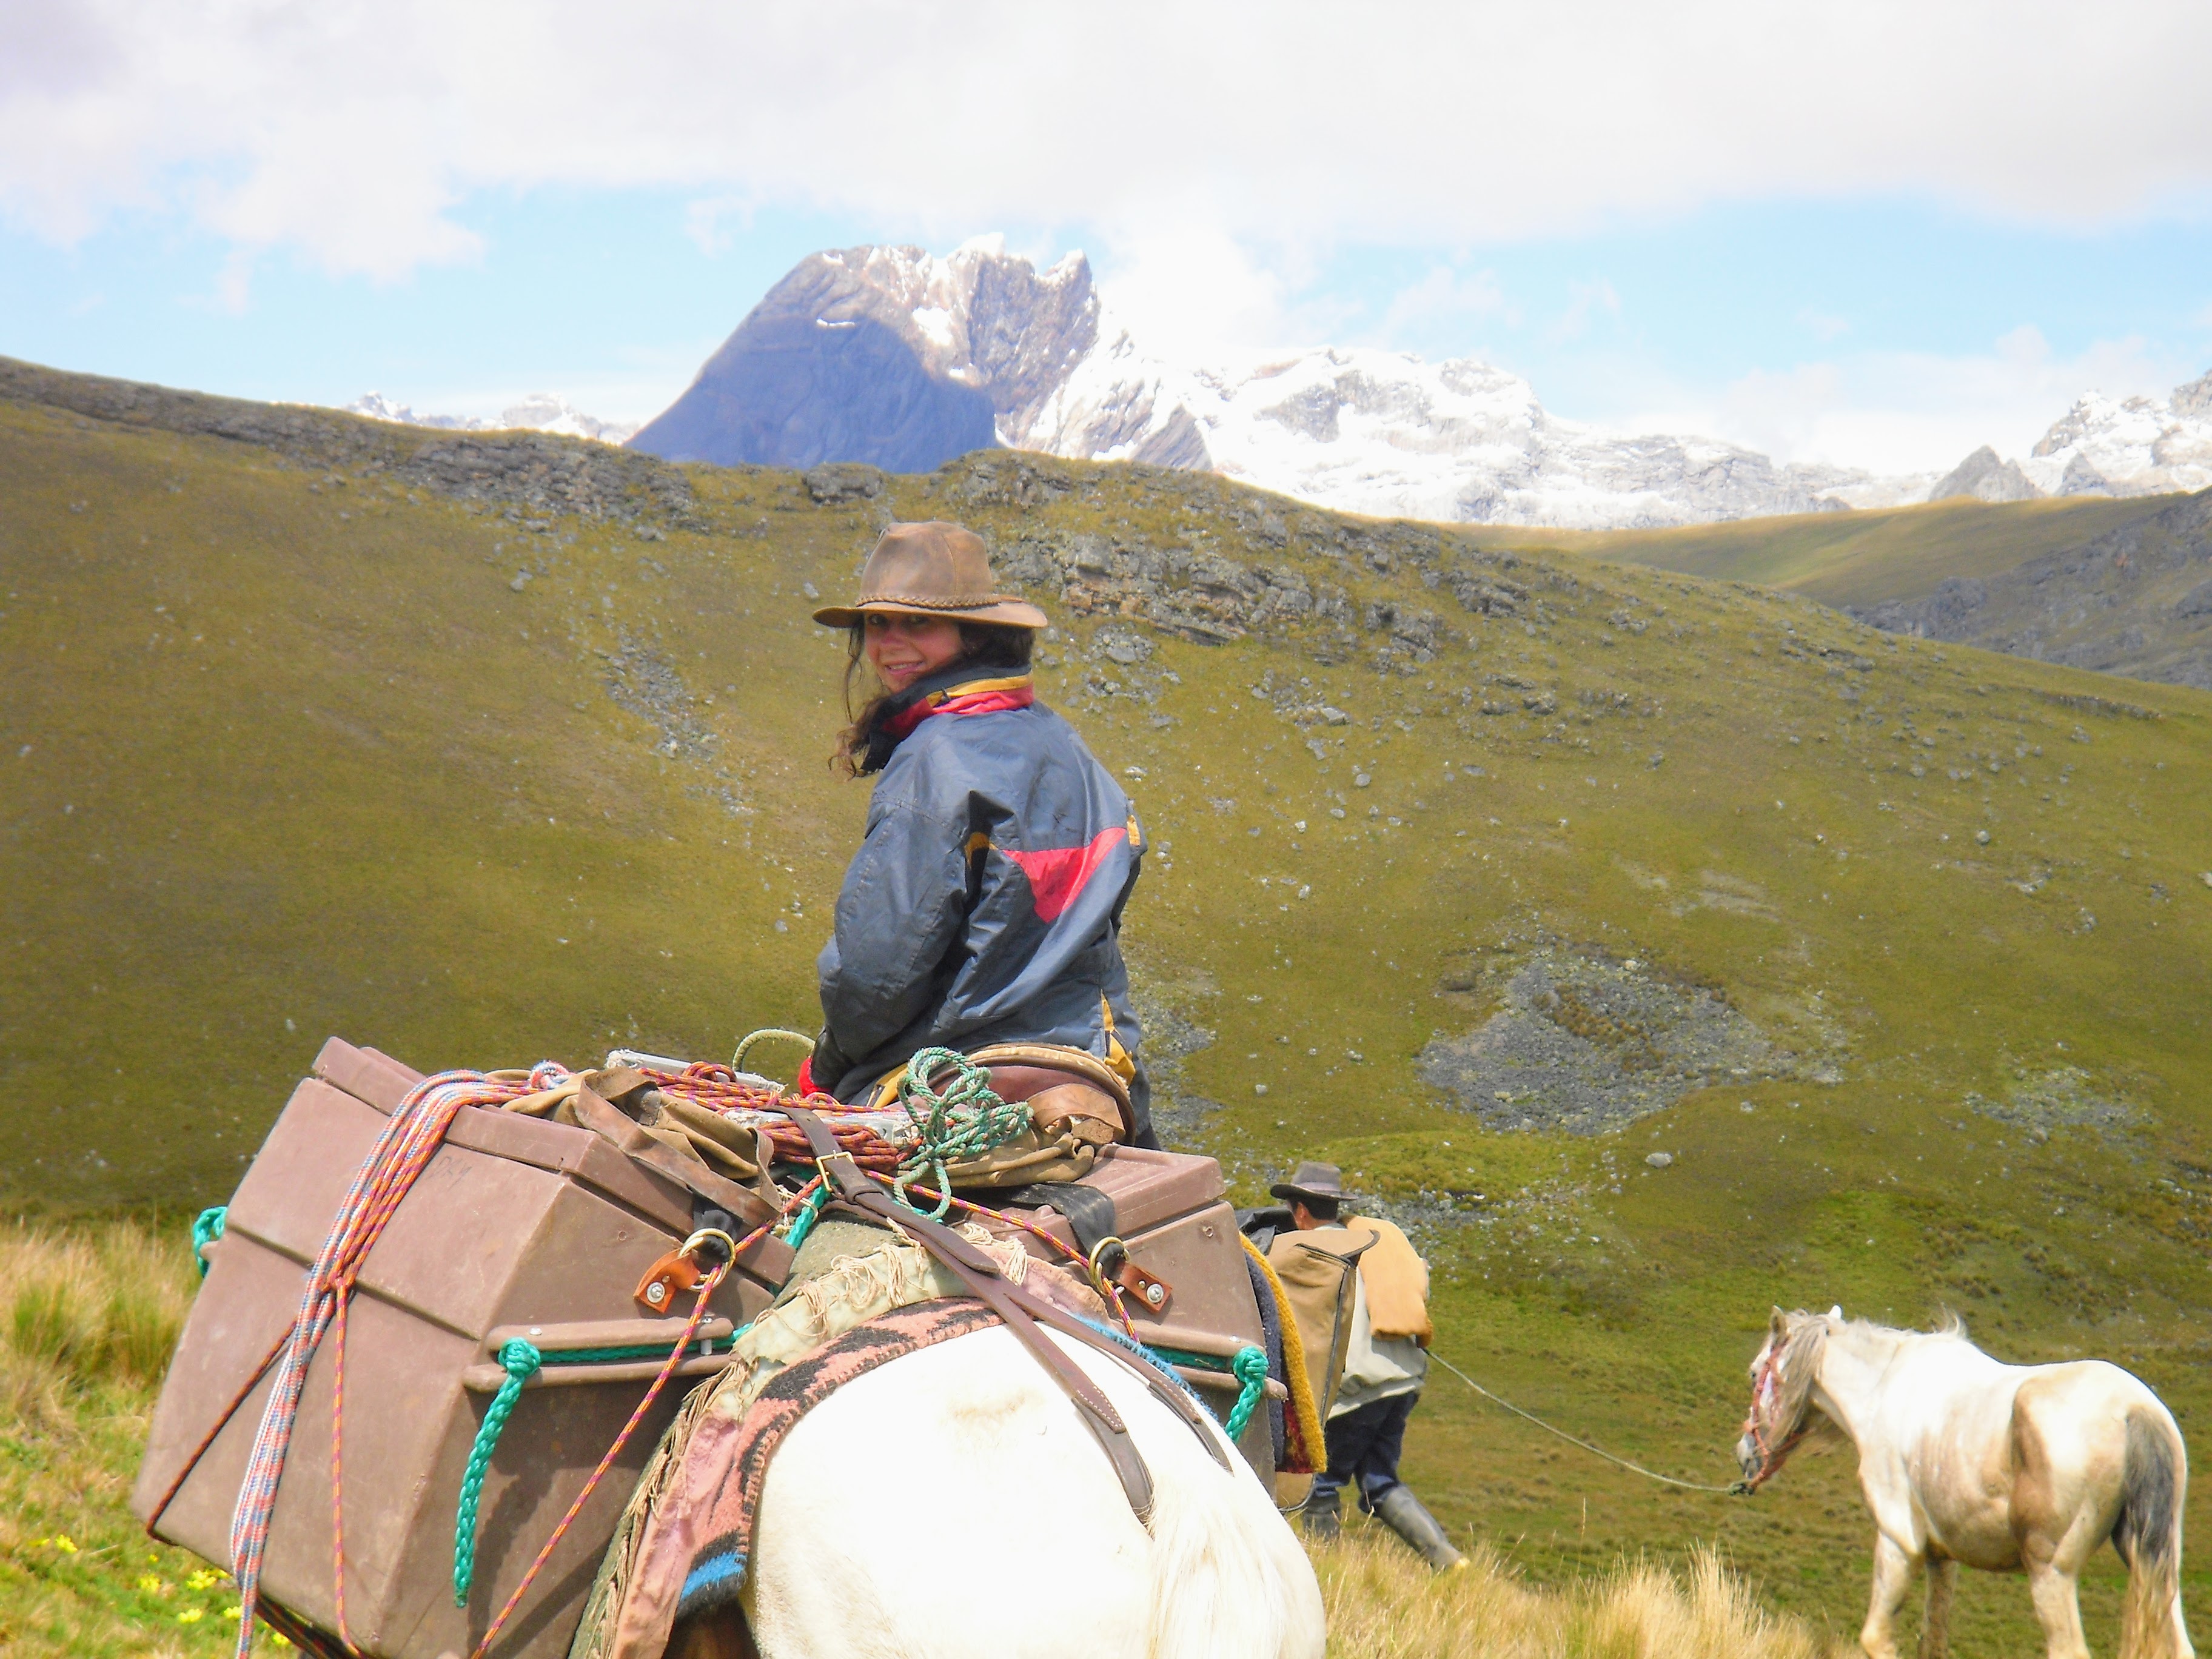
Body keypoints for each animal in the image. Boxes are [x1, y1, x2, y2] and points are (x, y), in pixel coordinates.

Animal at [1737, 1306, 2192, 1659]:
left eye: (1755, 1374)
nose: (1744, 1454)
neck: (1882, 1392)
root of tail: (2134, 1411)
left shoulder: (1898, 1543)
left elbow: (1877, 1639)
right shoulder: (1942, 1559)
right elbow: (1933, 1642)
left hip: (2052, 1574)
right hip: (2156, 1568)